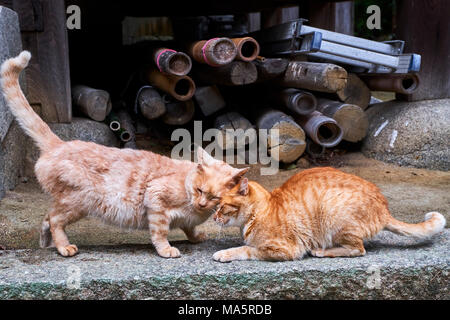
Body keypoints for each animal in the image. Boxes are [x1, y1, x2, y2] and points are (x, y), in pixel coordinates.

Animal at [0, 51, 250, 258]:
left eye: (214, 197)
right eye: (199, 190)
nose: (200, 203)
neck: (190, 195)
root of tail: (59, 144)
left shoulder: (188, 219)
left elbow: (189, 228)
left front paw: (196, 238)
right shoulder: (156, 201)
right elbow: (160, 233)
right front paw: (166, 250)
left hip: (69, 201)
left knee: (46, 217)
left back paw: (46, 243)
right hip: (78, 202)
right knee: (55, 220)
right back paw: (63, 247)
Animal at [213, 166, 444, 262]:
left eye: (221, 206)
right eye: (215, 205)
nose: (214, 218)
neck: (261, 211)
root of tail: (384, 208)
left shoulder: (283, 250)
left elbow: (245, 249)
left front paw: (224, 254)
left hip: (333, 213)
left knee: (358, 249)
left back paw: (322, 251)